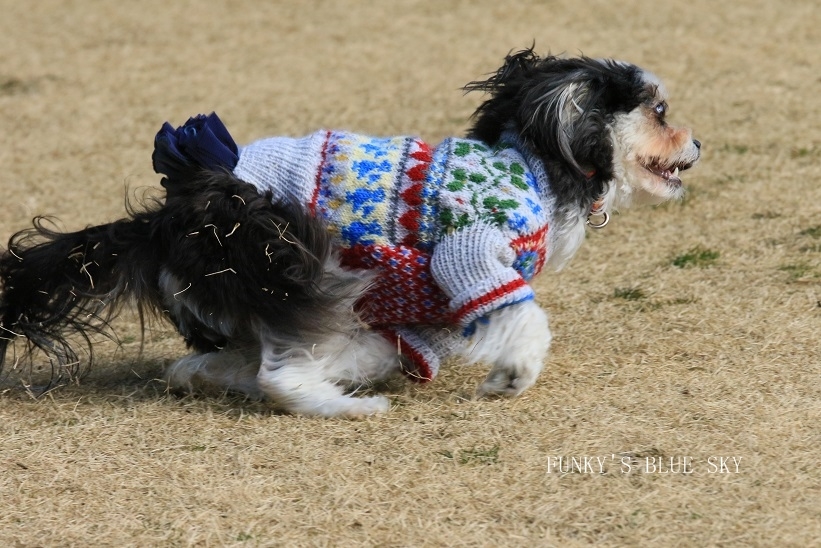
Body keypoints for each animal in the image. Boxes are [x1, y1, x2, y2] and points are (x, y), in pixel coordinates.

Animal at [0, 49, 700, 418]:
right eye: (661, 111)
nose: (696, 145)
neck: (536, 163)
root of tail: (168, 216)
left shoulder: (421, 311)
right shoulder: (470, 253)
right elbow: (521, 315)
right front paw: (514, 374)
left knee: (201, 363)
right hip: (293, 266)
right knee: (277, 373)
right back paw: (344, 406)